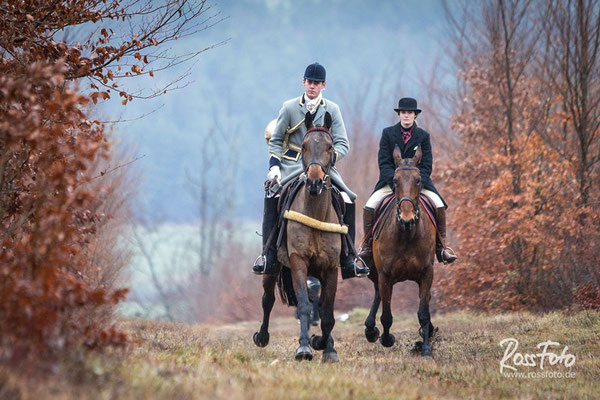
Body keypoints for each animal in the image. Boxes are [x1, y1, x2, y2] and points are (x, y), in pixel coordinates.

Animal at [253, 111, 342, 364]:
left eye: (330, 146)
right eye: (303, 145)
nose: (313, 182)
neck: (316, 213)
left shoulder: (330, 267)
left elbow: (327, 312)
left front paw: (325, 346)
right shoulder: (298, 262)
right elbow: (303, 305)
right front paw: (304, 347)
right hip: (272, 266)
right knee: (267, 300)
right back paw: (262, 336)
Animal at [364, 145, 438, 358]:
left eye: (419, 180)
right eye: (395, 181)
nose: (407, 219)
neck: (406, 234)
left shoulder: (427, 273)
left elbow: (423, 312)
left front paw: (426, 349)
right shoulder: (385, 274)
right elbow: (387, 315)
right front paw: (386, 338)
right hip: (374, 270)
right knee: (378, 292)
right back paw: (370, 330)